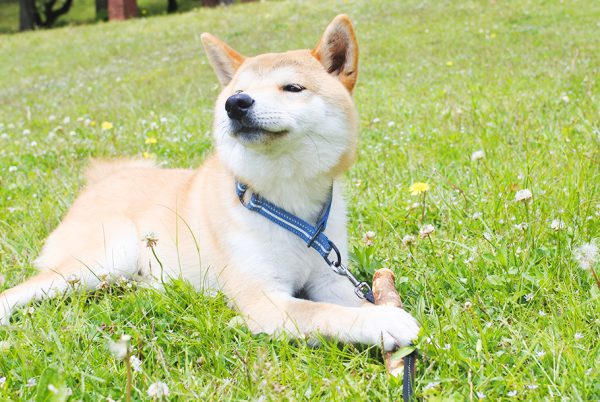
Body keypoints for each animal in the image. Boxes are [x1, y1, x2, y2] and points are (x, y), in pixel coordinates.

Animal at [0, 14, 420, 348]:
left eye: (293, 88)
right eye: (237, 92)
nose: (236, 104)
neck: (284, 202)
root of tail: (101, 181)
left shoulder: (330, 277)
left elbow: (352, 300)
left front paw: (380, 310)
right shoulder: (263, 299)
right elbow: (325, 313)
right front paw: (384, 321)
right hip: (101, 260)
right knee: (21, 289)